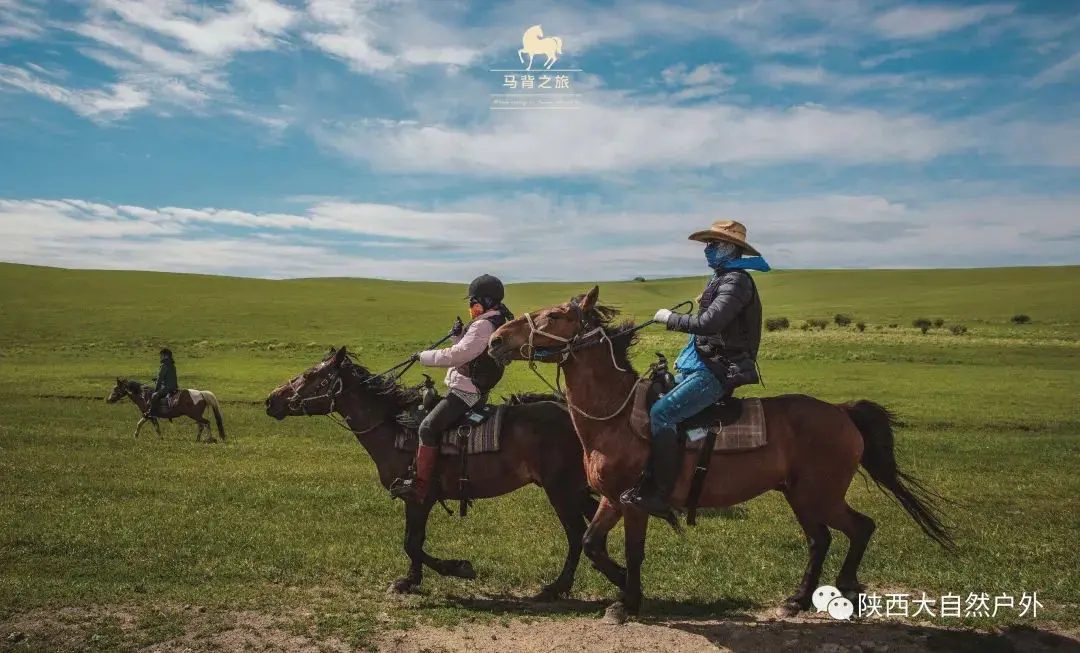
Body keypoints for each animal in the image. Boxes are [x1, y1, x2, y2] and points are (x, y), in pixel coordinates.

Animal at [261, 349, 600, 600]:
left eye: (310, 375)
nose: (271, 400)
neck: (393, 428)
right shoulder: (417, 501)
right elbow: (415, 540)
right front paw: (410, 580)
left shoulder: (418, 497)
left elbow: (411, 542)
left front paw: (459, 568)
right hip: (577, 490)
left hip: (561, 491)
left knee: (575, 535)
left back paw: (557, 587)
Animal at [488, 287, 954, 626]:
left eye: (554, 316)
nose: (495, 339)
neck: (616, 416)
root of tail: (841, 412)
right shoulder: (610, 497)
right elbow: (591, 543)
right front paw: (624, 588)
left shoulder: (634, 503)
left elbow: (632, 551)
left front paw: (627, 601)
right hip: (800, 495)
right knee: (819, 539)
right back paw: (798, 599)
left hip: (820, 495)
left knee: (859, 528)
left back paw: (846, 591)